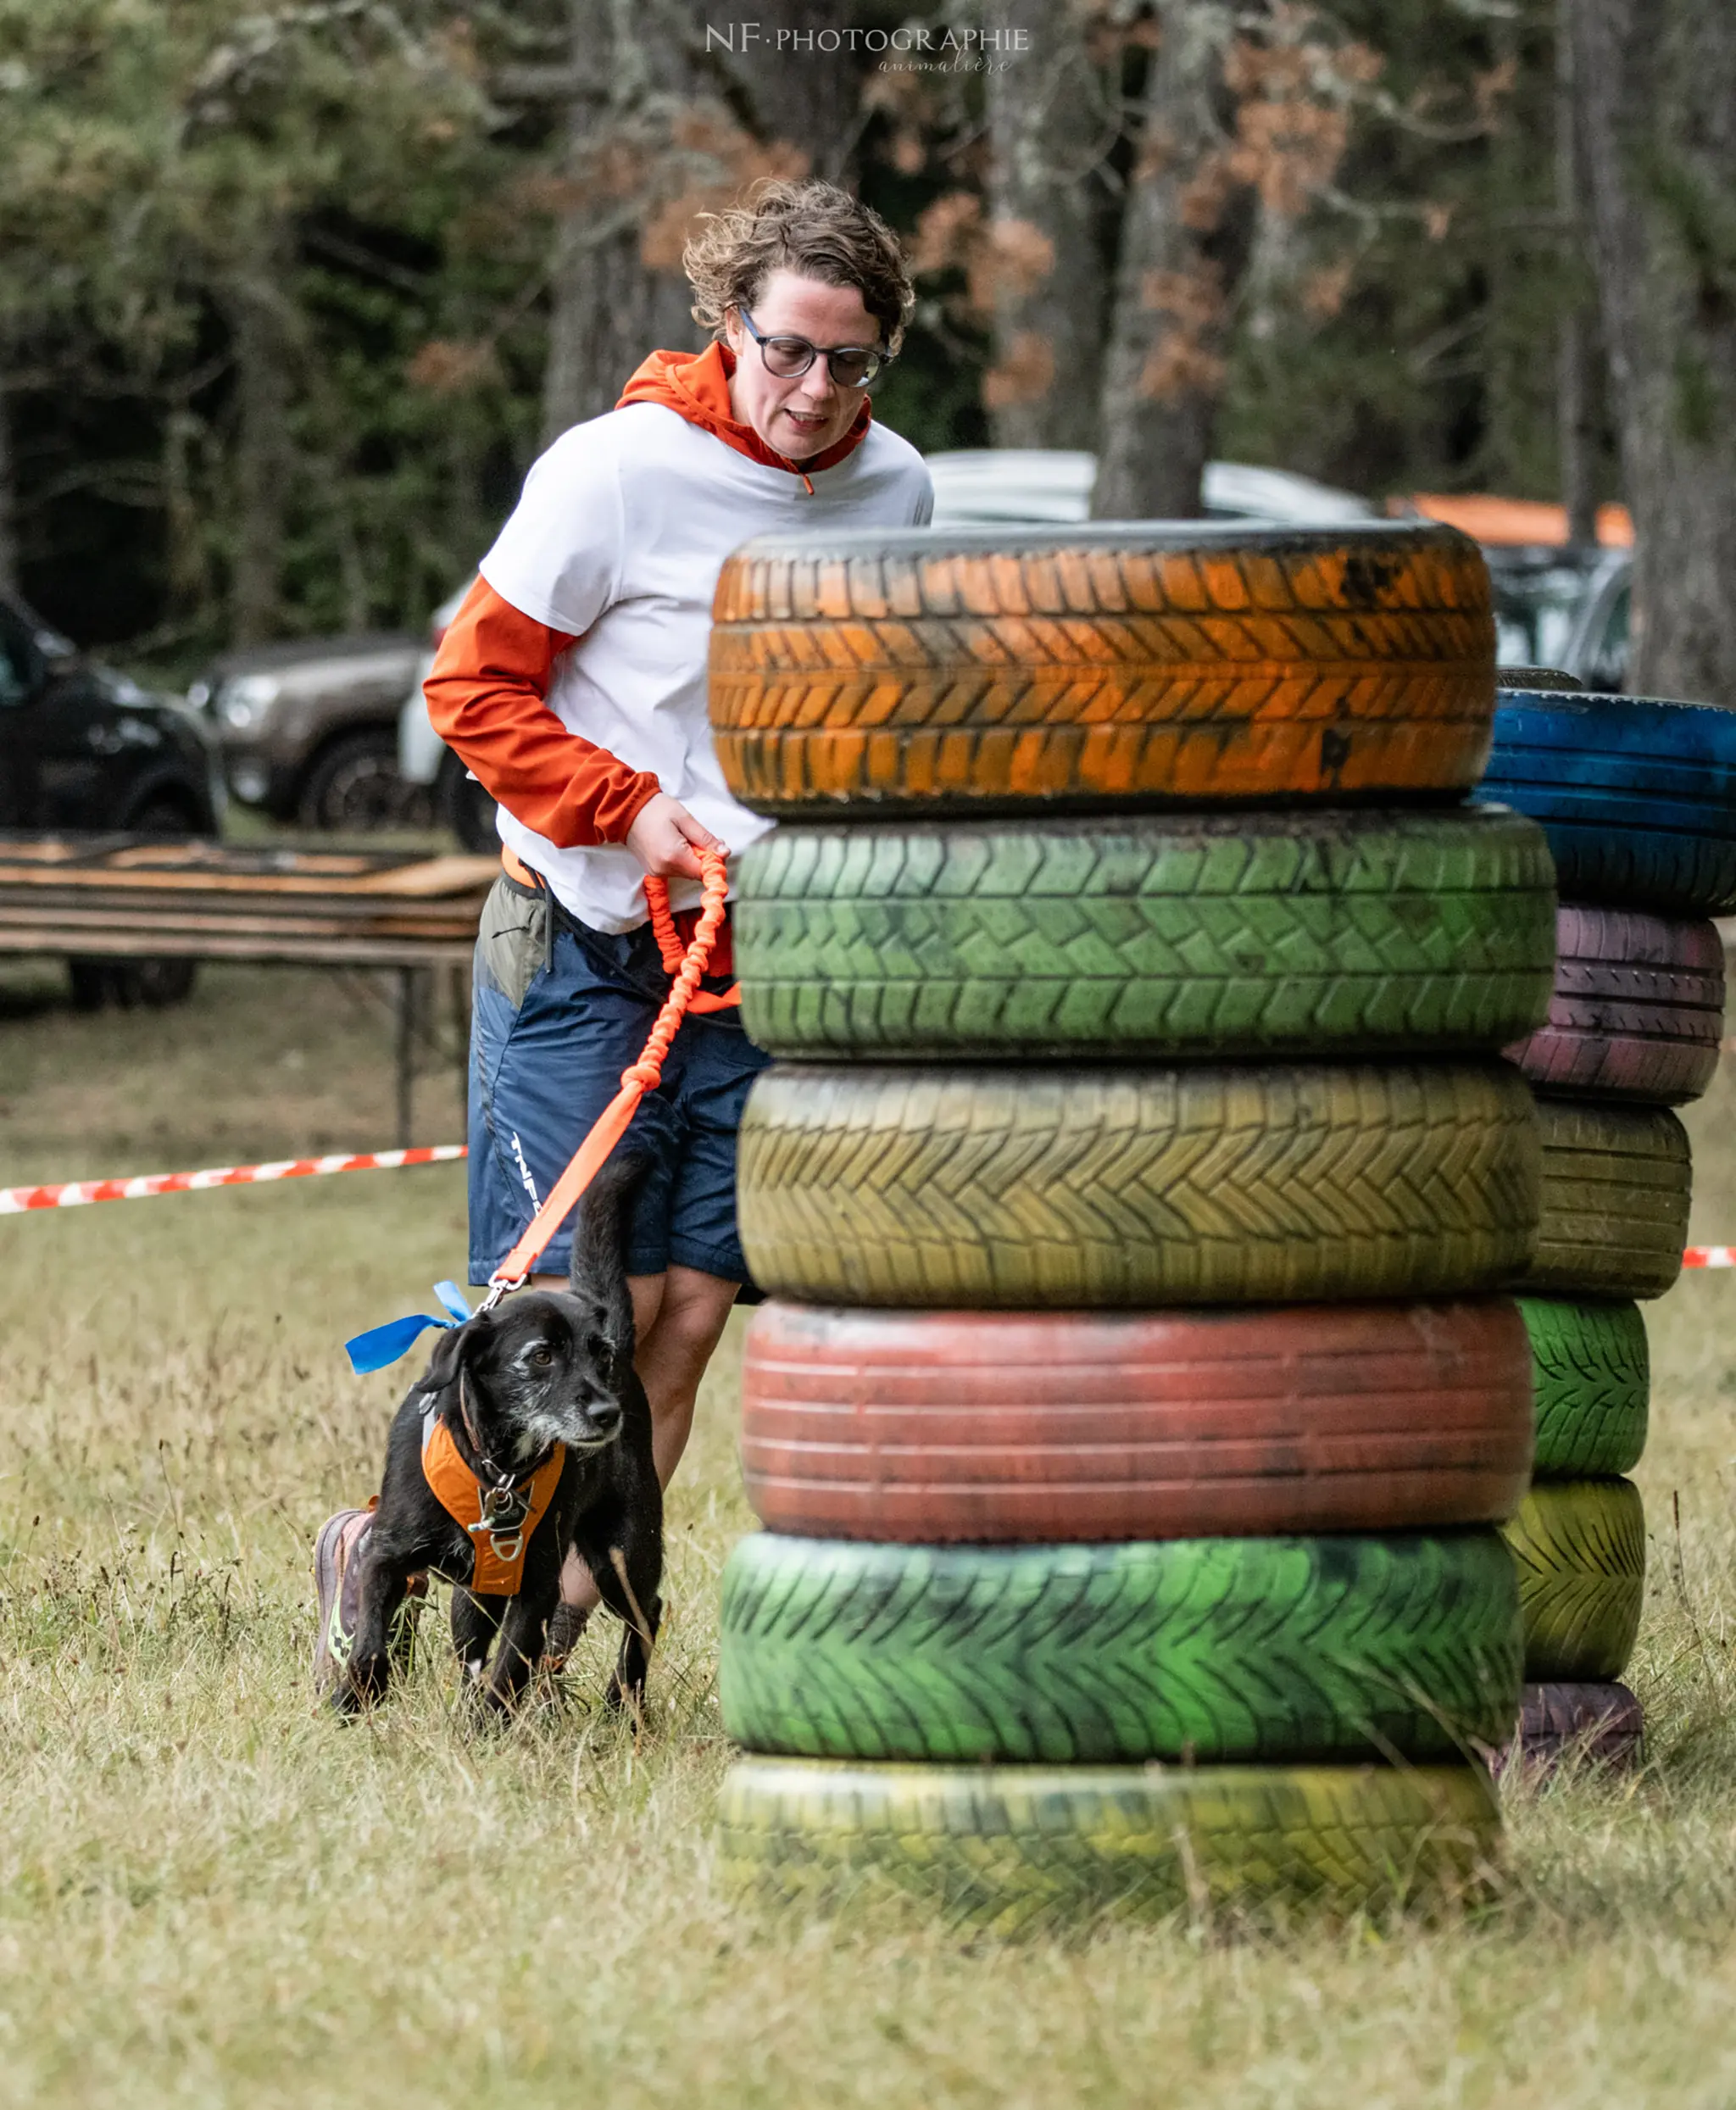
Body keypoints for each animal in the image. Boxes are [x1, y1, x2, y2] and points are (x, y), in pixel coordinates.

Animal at [335, 1164, 666, 1722]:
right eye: (541, 1356)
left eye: (599, 1355)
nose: (607, 1414)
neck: (497, 1466)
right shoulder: (386, 1554)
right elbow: (371, 1641)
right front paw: (354, 1699)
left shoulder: (536, 1585)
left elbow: (509, 1670)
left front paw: (484, 1730)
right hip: (473, 1596)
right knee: (471, 1649)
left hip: (622, 1551)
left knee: (646, 1613)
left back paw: (623, 1700)